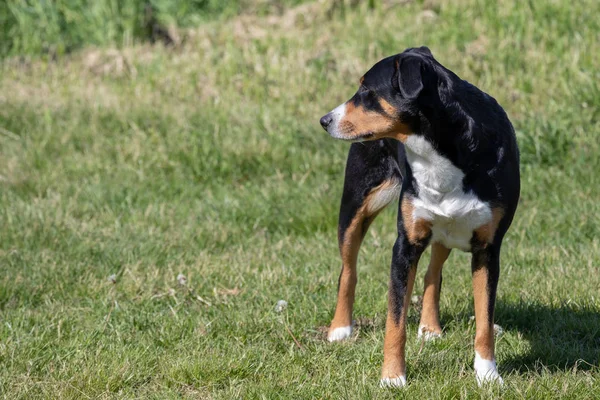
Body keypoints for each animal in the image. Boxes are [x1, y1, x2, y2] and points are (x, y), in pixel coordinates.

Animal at [318, 47, 520, 388]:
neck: (440, 153)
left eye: (367, 91)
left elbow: (484, 321)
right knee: (348, 270)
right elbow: (395, 322)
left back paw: (430, 328)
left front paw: (488, 374)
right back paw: (340, 329)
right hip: (355, 207)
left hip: (444, 229)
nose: (324, 120)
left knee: (432, 274)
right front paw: (392, 377)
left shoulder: (488, 249)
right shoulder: (405, 245)